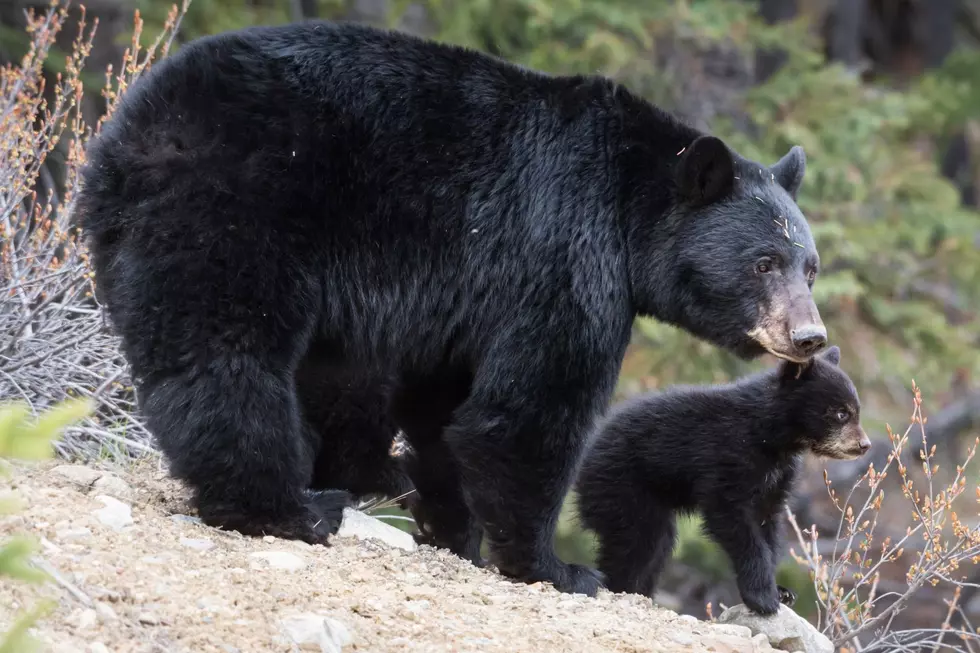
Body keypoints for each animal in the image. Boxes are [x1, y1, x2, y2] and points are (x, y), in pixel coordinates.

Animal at [74, 19, 828, 596]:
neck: (627, 205)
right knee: (227, 352)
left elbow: (445, 405)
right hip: (239, 207)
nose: (809, 335)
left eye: (810, 267)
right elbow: (528, 410)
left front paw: (454, 527)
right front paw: (555, 566)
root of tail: (130, 131)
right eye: (763, 262)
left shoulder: (467, 298)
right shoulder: (562, 254)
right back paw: (288, 506)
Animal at [576, 346, 864, 612]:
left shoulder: (779, 476)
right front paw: (763, 597)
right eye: (841, 413)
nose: (864, 445)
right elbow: (730, 517)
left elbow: (768, 523)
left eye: (856, 411)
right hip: (623, 487)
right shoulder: (727, 457)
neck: (770, 437)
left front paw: (781, 591)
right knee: (638, 543)